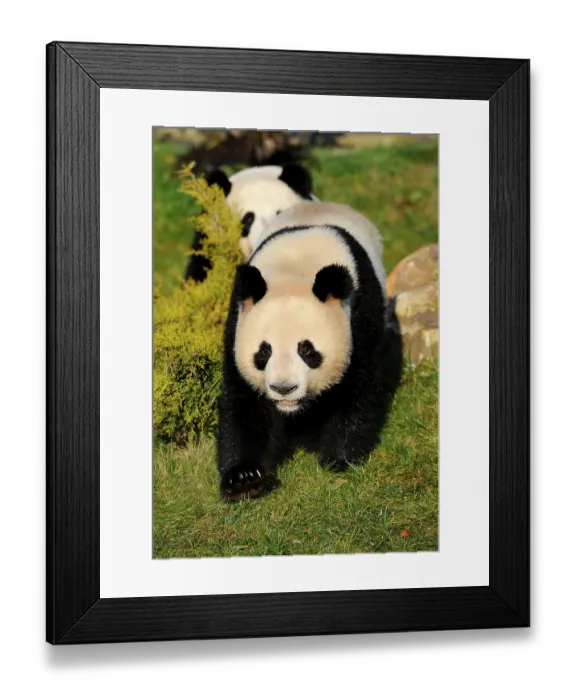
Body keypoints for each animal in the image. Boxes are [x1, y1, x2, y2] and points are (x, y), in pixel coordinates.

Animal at [217, 201, 404, 501]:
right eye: (263, 352)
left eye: (307, 351)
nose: (284, 388)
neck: (295, 268)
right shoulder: (237, 320)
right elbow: (243, 401)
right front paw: (244, 478)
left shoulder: (359, 314)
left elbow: (356, 387)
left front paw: (339, 459)